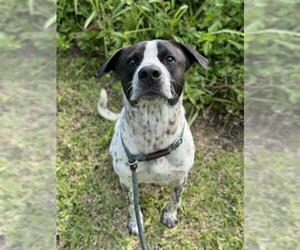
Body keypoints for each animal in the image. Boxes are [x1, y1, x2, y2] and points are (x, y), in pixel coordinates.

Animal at [97, 39, 207, 234]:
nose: (149, 73)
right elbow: (132, 204)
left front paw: (170, 215)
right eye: (131, 61)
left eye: (170, 58)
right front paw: (135, 223)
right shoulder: (129, 180)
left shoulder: (180, 178)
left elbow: (175, 199)